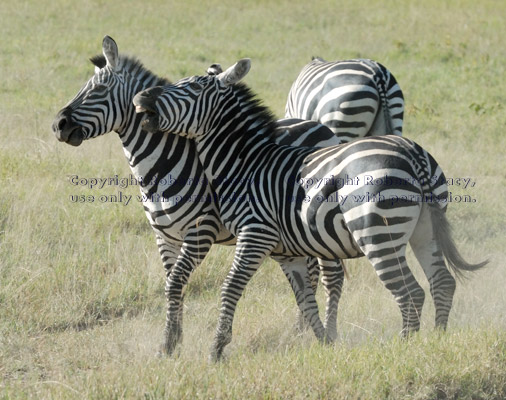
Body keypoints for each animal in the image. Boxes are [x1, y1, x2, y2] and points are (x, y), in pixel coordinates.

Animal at [52, 35, 348, 354]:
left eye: (99, 90)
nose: (58, 125)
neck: (158, 166)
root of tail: (319, 125)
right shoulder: (164, 235)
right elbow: (173, 284)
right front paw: (173, 339)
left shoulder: (200, 231)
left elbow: (176, 282)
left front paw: (170, 344)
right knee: (310, 272)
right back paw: (300, 330)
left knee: (331, 275)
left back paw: (329, 331)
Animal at [133, 57, 486, 360]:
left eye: (191, 87)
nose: (140, 96)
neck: (244, 163)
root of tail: (410, 151)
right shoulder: (287, 250)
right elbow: (306, 298)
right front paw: (325, 342)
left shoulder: (255, 235)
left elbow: (230, 288)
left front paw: (216, 350)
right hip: (425, 228)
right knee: (442, 282)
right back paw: (437, 341)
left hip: (377, 235)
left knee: (410, 292)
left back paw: (404, 349)